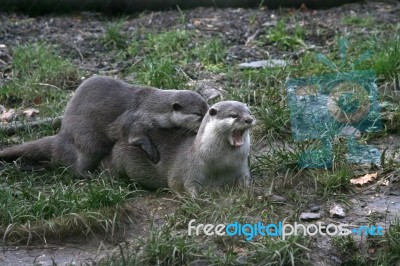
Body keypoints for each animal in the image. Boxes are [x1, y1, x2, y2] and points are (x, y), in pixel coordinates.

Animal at [105, 101, 256, 196]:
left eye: (249, 112)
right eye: (234, 115)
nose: (249, 119)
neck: (221, 166)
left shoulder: (242, 168)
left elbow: (247, 181)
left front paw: (249, 192)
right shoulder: (188, 169)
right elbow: (180, 185)